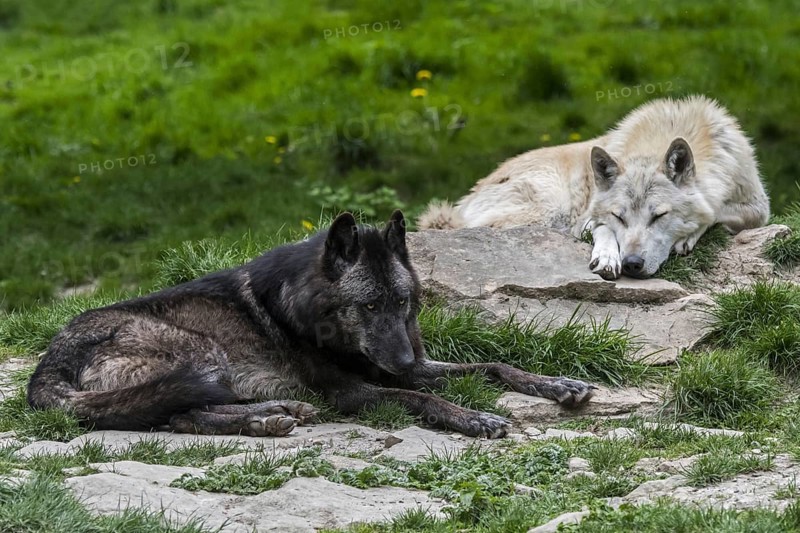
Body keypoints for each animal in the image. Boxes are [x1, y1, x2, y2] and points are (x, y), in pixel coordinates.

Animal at [28, 211, 595, 439]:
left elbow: (495, 365)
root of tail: (47, 363)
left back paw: (276, 412)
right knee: (180, 414)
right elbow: (419, 398)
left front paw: (556, 383)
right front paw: (473, 418)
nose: (404, 357)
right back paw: (267, 418)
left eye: (402, 302)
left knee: (182, 410)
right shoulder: (355, 391)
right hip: (201, 352)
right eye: (369, 308)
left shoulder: (412, 364)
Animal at [418, 96, 770, 279]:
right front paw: (607, 257)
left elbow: (716, 213)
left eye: (659, 216)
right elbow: (600, 229)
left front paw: (688, 237)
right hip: (548, 211)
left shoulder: (757, 208)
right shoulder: (588, 219)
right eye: (620, 216)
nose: (632, 264)